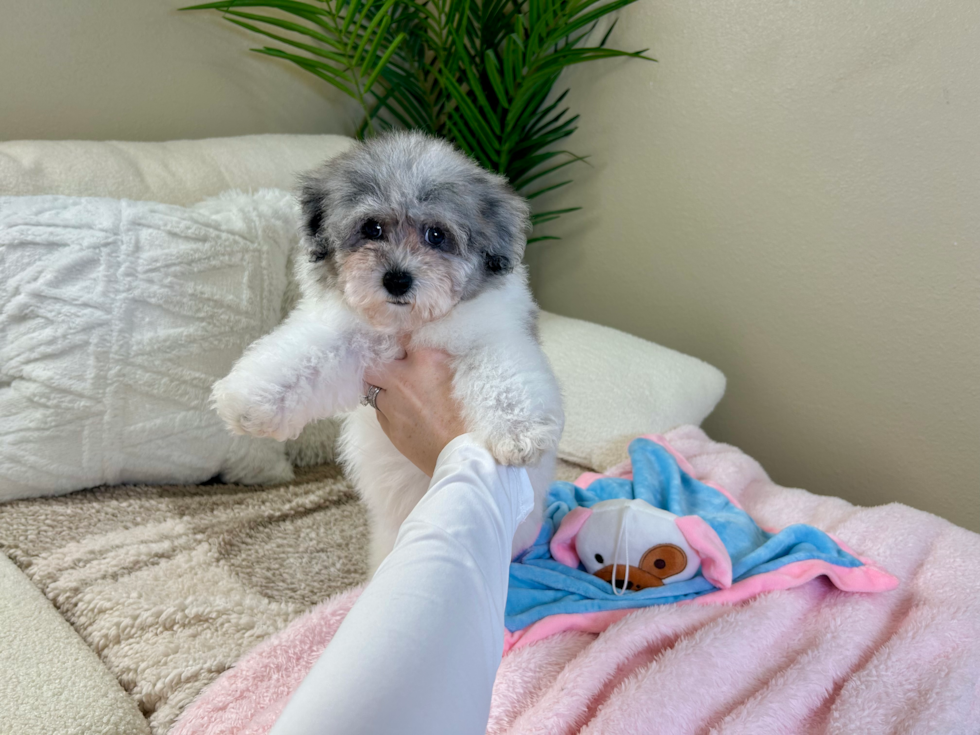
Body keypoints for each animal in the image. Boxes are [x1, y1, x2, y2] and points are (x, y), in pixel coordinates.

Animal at [214, 132, 568, 576]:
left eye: (436, 235)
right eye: (372, 228)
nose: (397, 279)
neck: (408, 325)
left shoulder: (493, 334)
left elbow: (502, 376)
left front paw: (518, 430)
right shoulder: (347, 343)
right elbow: (303, 357)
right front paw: (249, 399)